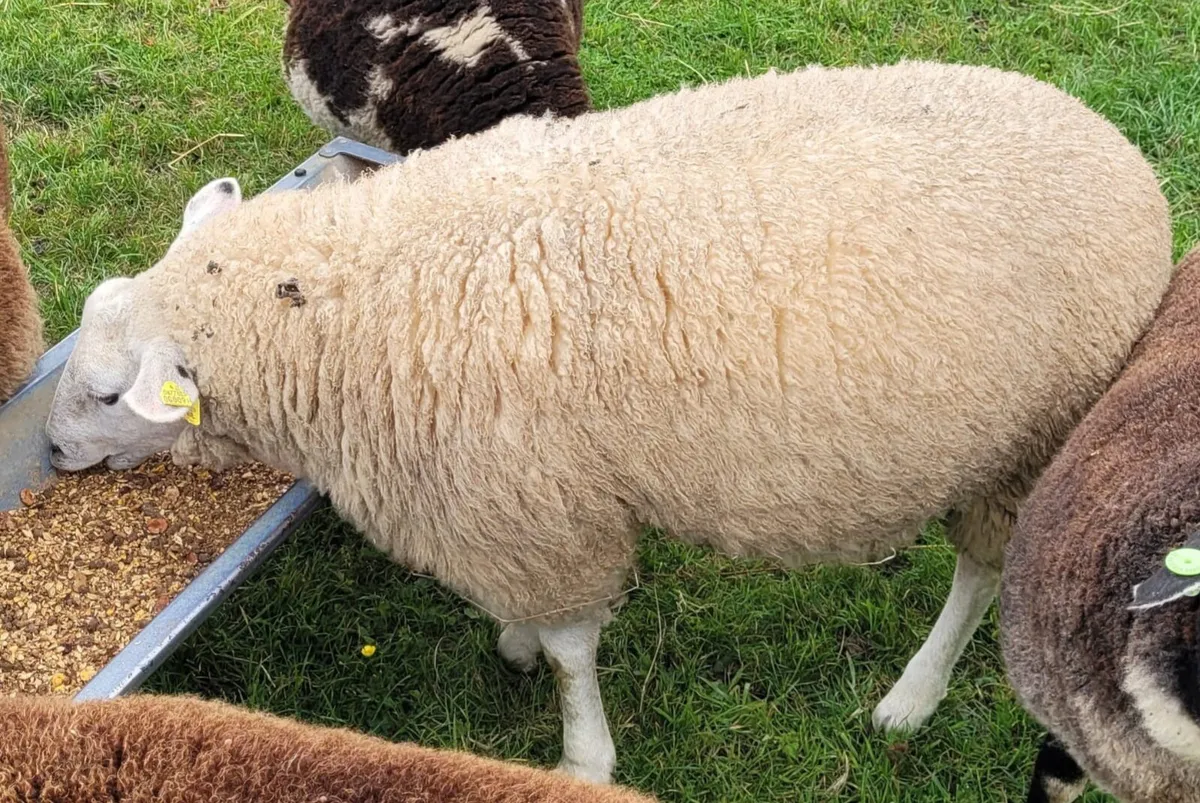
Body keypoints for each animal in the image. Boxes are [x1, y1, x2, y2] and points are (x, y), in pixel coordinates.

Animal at [43, 61, 1174, 783]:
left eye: (106, 395)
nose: (49, 450)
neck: (358, 287)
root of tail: (1123, 155)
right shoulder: (517, 509)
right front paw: (511, 638)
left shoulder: (544, 508)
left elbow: (573, 652)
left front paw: (581, 752)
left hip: (1033, 434)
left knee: (980, 573)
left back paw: (913, 695)